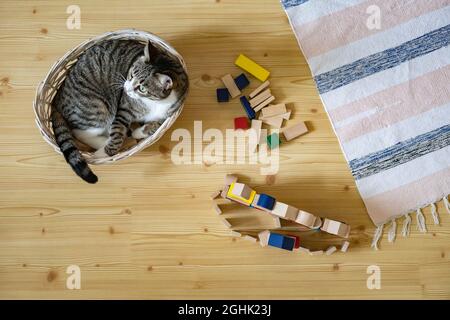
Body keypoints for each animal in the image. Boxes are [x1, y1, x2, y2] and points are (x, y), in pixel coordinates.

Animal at [51, 40, 188, 184]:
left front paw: (139, 132)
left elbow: (156, 125)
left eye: (142, 88)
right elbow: (117, 134)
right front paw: (104, 153)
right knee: (79, 132)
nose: (126, 89)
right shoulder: (124, 109)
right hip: (97, 110)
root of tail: (57, 98)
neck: (155, 103)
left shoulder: (172, 110)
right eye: (131, 75)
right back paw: (104, 143)